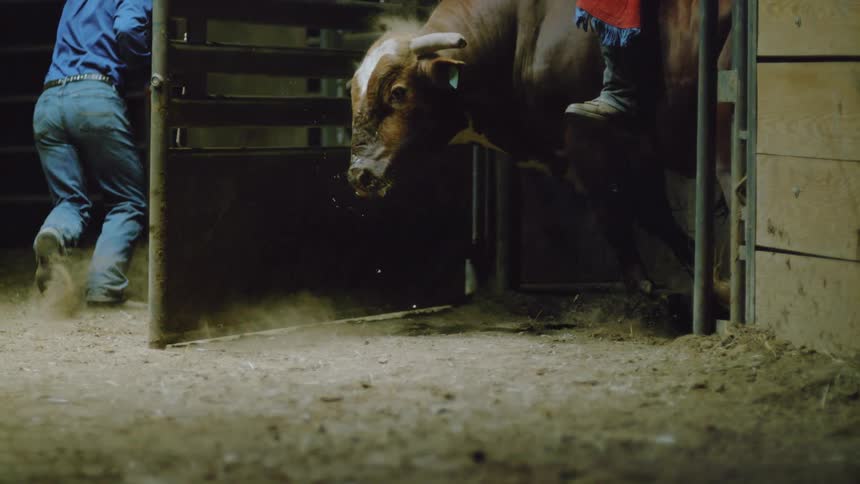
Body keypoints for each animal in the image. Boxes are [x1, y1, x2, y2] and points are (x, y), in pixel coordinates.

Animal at [347, 0, 734, 295]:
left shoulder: (591, 142)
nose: (358, 174)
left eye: (398, 91)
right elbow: (653, 214)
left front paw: (652, 284)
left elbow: (624, 212)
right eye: (352, 92)